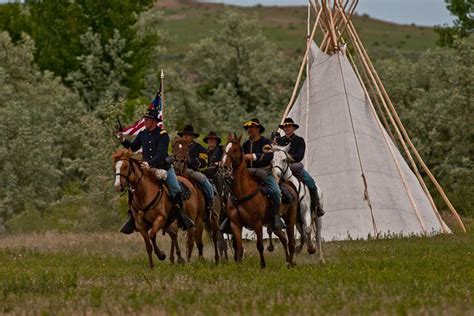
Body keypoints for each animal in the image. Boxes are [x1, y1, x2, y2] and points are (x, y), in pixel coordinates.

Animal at [219, 135, 296, 268]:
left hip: (290, 219)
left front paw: (262, 265)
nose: (224, 166)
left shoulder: (257, 223)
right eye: (224, 148)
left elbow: (259, 245)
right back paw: (287, 261)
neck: (242, 192)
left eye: (236, 149)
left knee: (291, 242)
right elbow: (239, 247)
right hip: (273, 224)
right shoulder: (235, 224)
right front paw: (239, 266)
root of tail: (289, 185)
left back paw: (290, 263)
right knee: (284, 238)